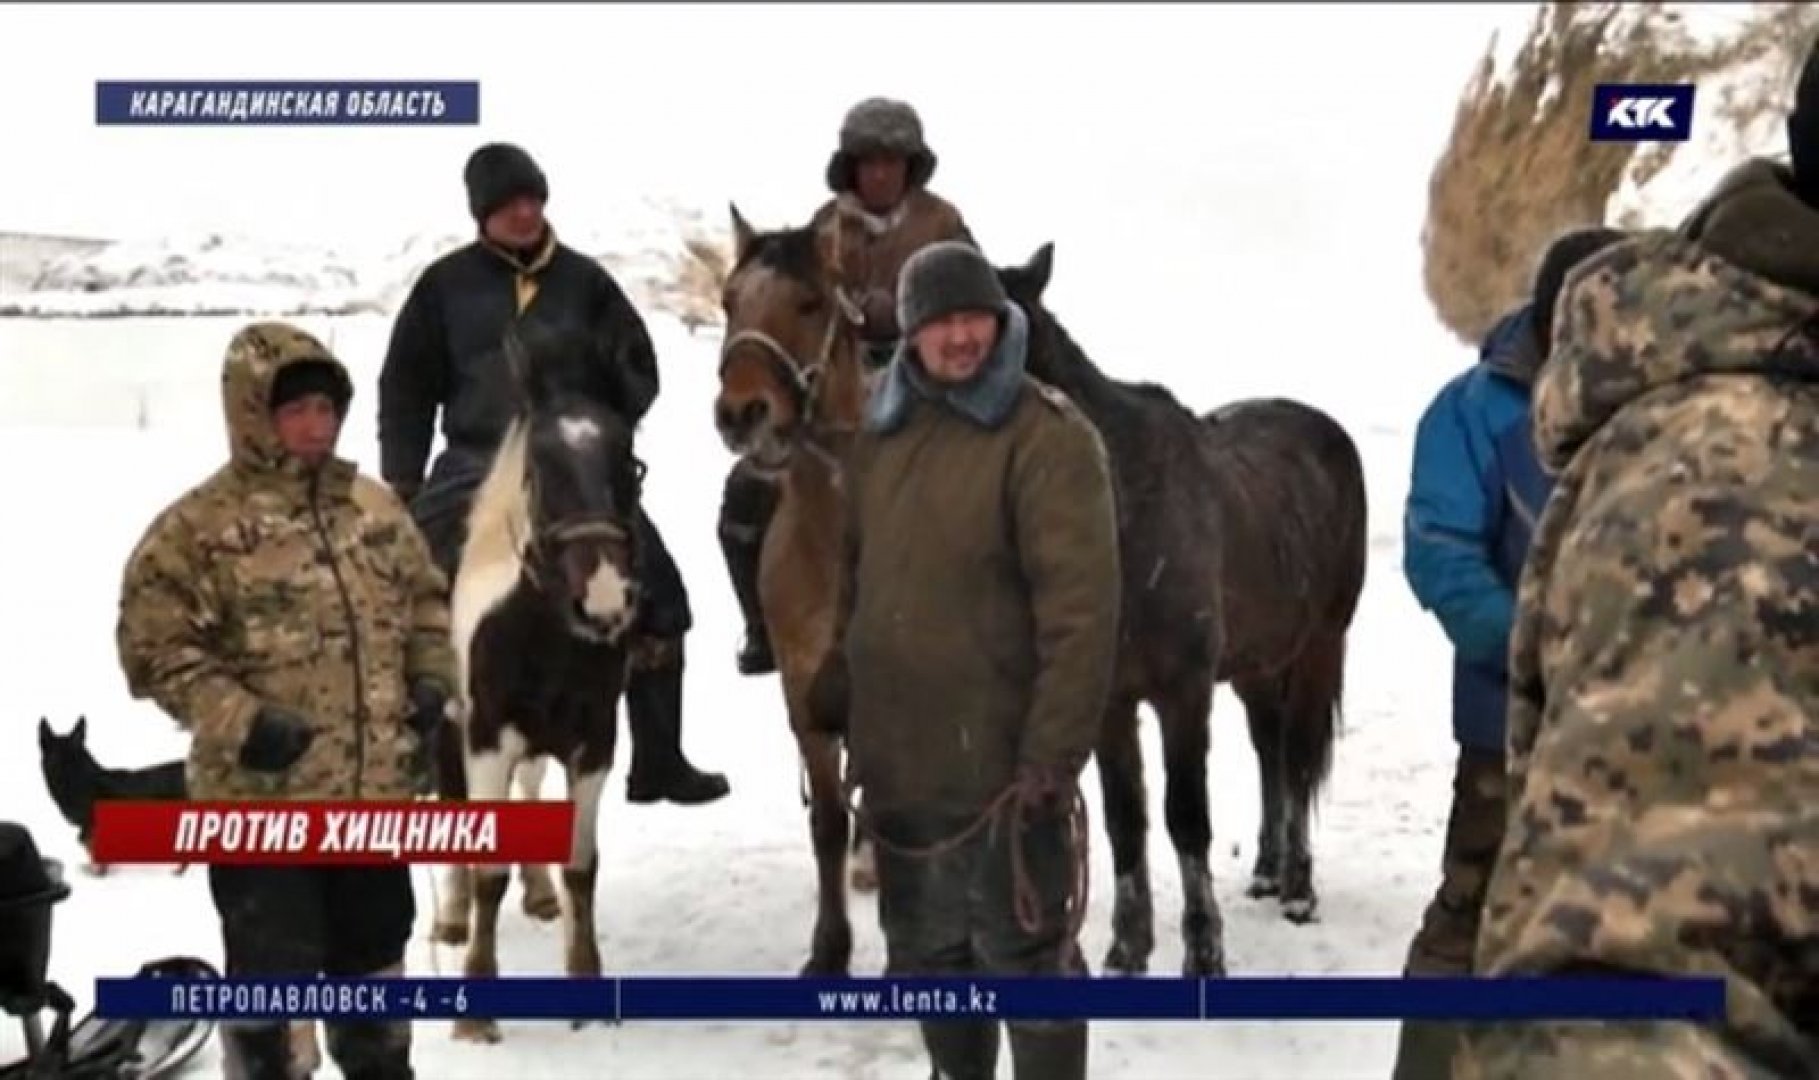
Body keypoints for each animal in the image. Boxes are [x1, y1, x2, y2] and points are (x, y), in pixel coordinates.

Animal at [431, 318, 647, 1032]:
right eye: (543, 467)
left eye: (628, 462)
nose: (604, 600)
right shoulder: (486, 739)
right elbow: (486, 866)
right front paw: (475, 1007)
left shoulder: (593, 744)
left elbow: (582, 865)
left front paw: (585, 976)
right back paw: (451, 915)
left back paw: (540, 893)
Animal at [996, 243, 1367, 974]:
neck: (1124, 507)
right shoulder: (1110, 701)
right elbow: (1125, 819)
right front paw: (1126, 944)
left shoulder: (1183, 691)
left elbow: (1185, 817)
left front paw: (1203, 948)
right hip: (1257, 665)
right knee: (1271, 749)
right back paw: (1268, 867)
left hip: (1319, 646)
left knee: (1297, 757)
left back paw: (1298, 885)